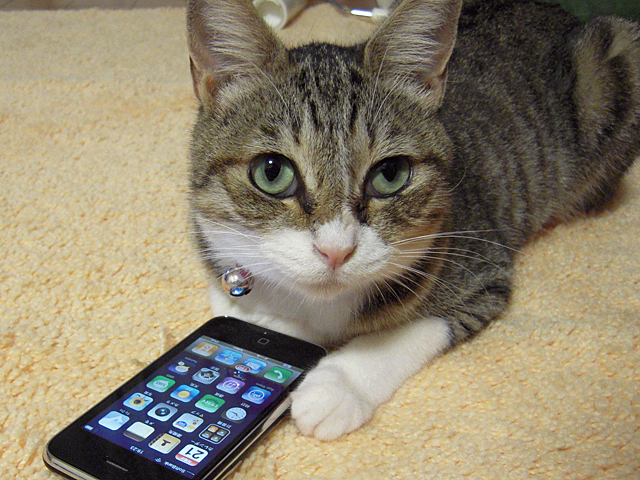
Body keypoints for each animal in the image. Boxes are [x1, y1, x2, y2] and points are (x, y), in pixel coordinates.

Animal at [186, 0, 640, 440]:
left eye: (390, 174)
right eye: (271, 172)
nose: (336, 250)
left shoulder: (482, 267)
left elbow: (415, 328)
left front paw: (338, 386)